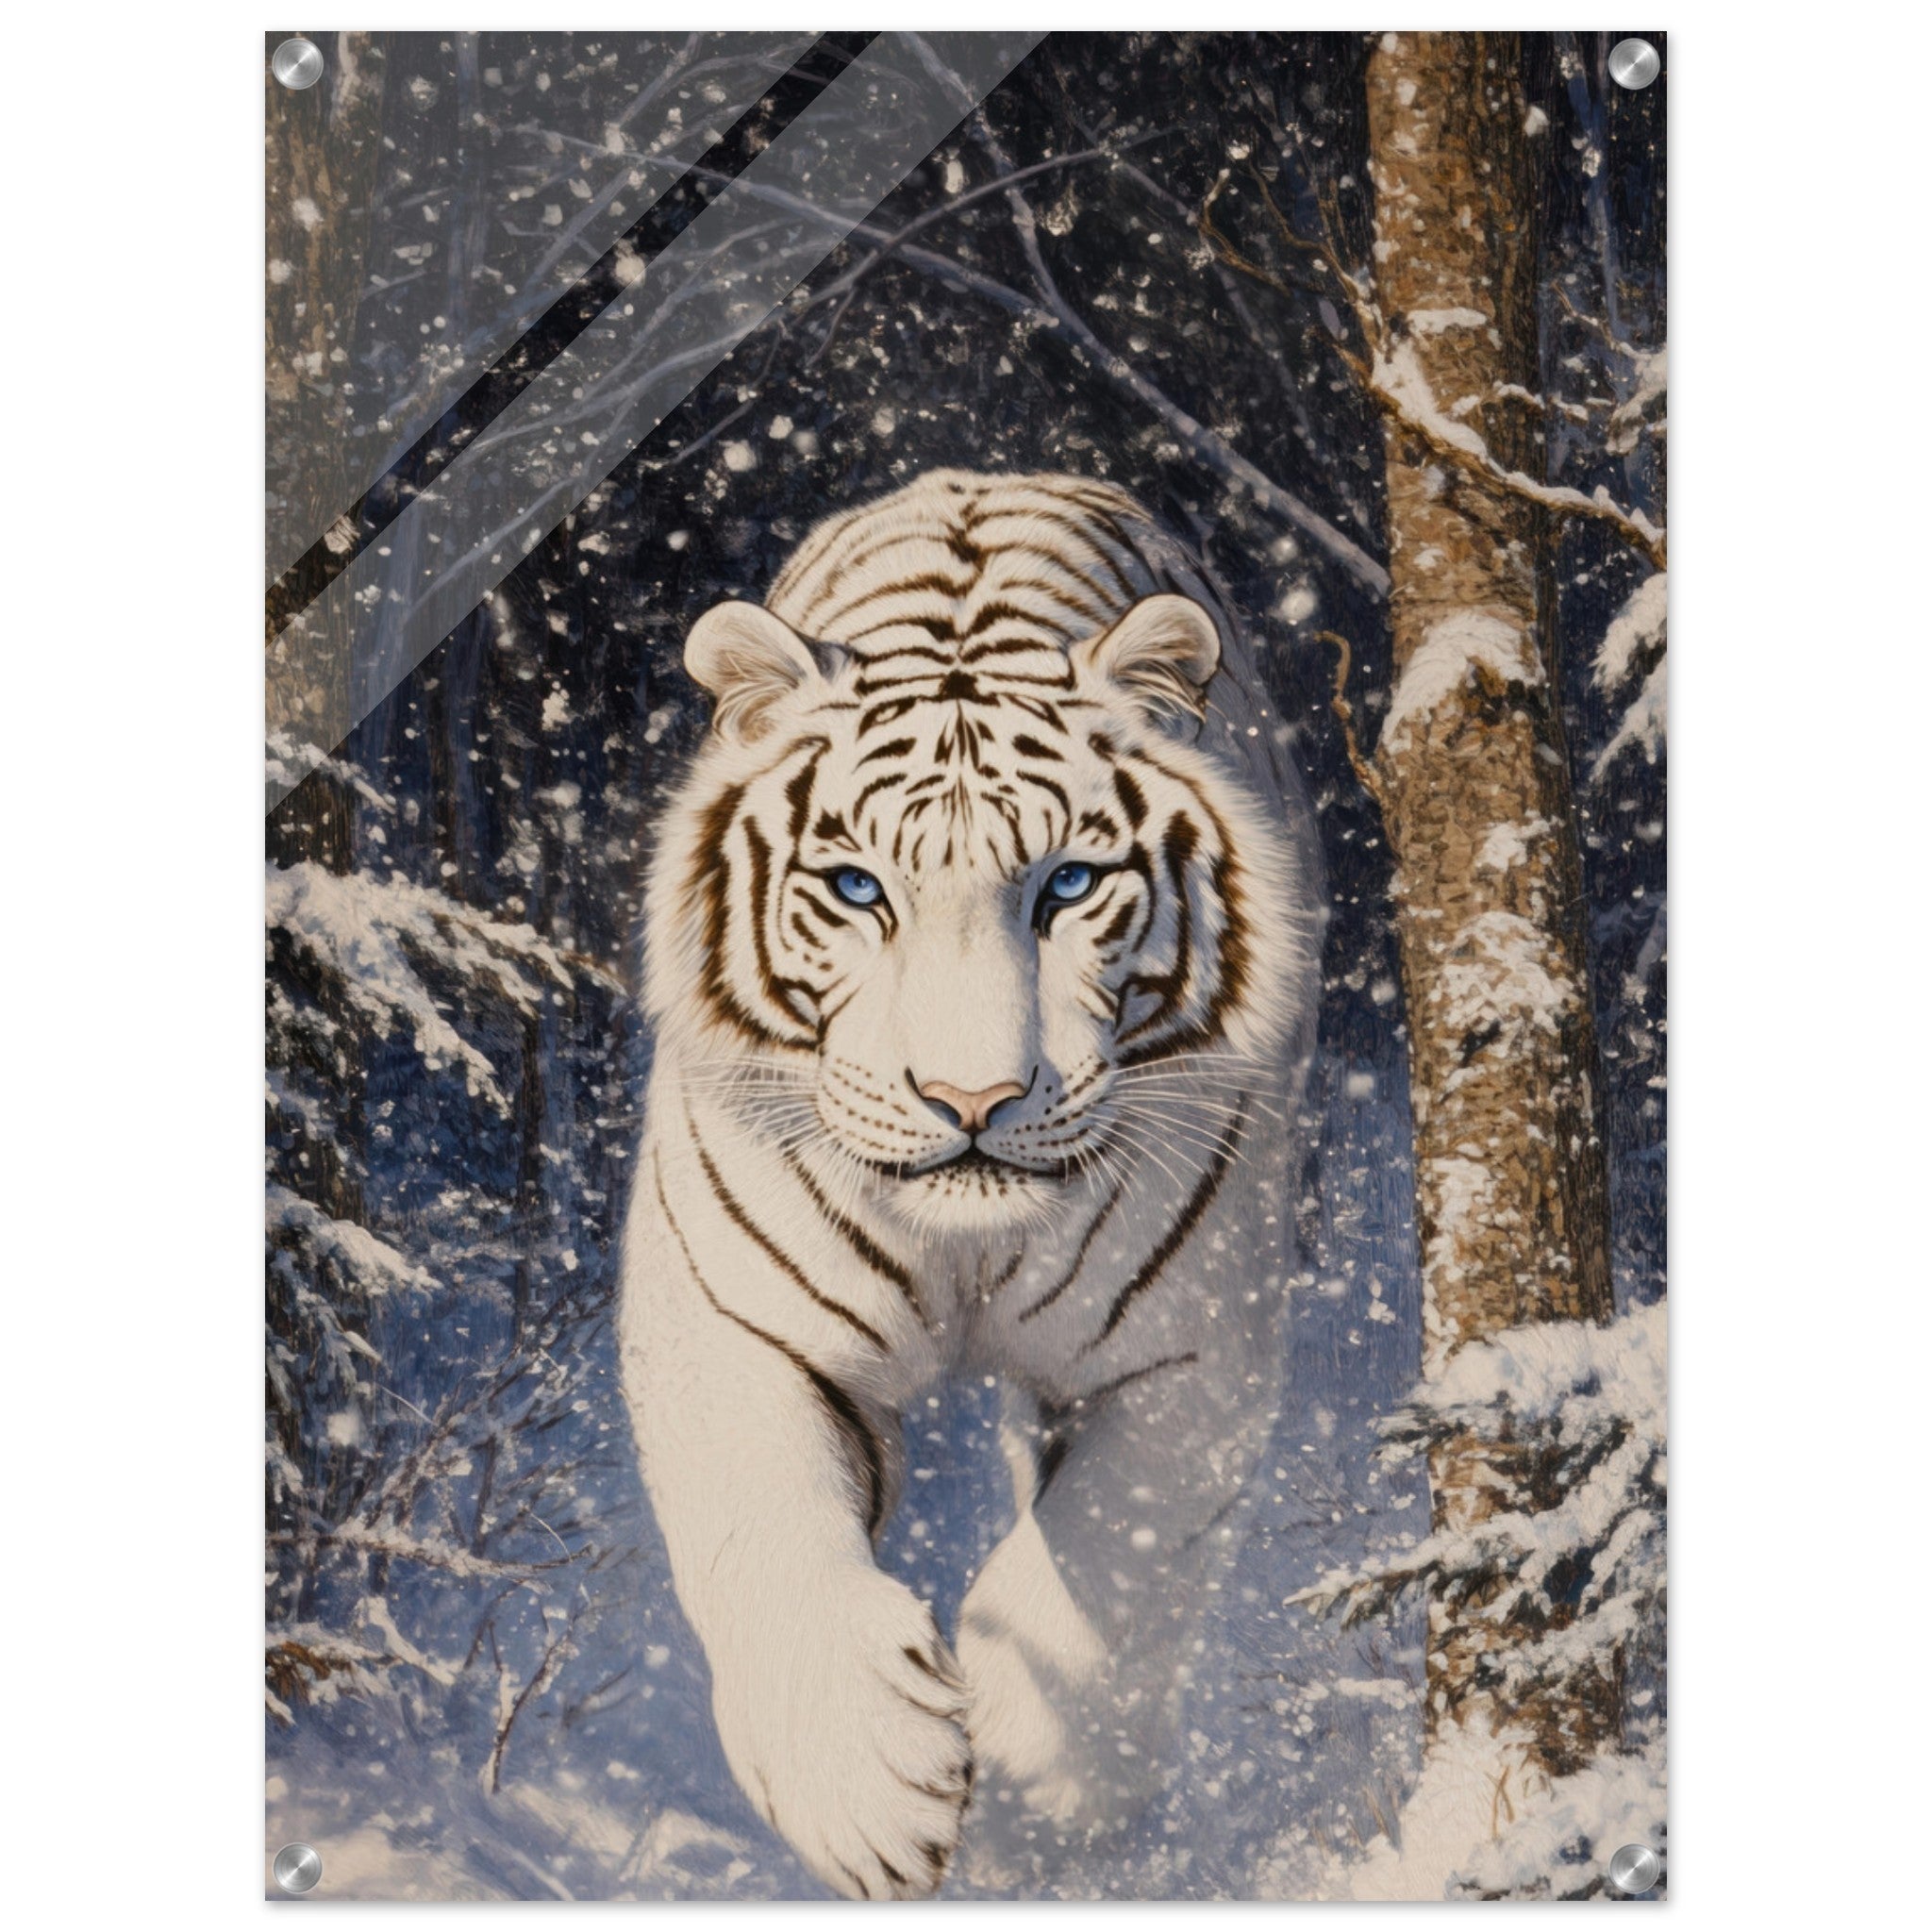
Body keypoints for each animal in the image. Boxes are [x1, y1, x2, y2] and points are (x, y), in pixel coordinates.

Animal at [619, 470, 1322, 1899]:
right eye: (854, 888)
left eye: (1069, 884)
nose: (971, 1103)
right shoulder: (727, 1320)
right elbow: (762, 1526)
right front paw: (865, 1788)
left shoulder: (1188, 1345)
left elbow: (1109, 1558)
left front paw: (1040, 1801)